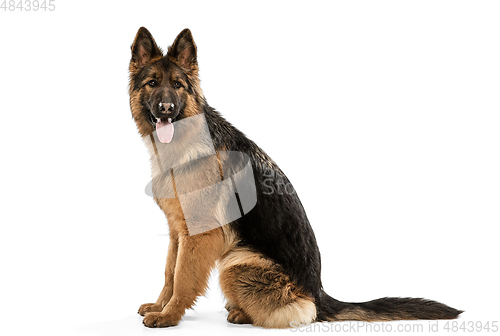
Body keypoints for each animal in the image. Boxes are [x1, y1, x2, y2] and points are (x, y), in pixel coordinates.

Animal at [127, 26, 462, 328]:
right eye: (153, 83)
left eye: (178, 85)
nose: (166, 108)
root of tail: (318, 292)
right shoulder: (177, 231)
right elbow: (170, 272)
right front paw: (159, 305)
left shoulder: (200, 236)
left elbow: (183, 277)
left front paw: (169, 315)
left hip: (235, 262)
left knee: (299, 312)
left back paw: (242, 313)